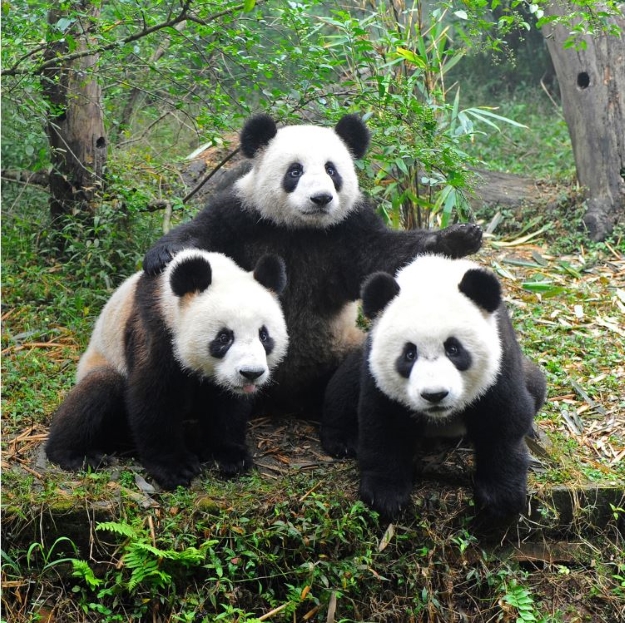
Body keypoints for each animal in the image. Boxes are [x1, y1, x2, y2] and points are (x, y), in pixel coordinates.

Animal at [46, 250, 288, 492]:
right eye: (224, 337)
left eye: (264, 335)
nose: (251, 373)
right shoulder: (155, 329)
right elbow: (154, 398)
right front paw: (175, 468)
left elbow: (227, 405)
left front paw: (230, 456)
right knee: (98, 390)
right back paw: (75, 454)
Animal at [143, 114, 482, 416]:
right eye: (295, 171)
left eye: (332, 170)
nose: (321, 198)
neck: (301, 228)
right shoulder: (242, 216)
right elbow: (203, 233)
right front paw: (162, 255)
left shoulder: (348, 229)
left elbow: (384, 256)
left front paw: (458, 238)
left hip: (341, 346)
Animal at [322, 256, 544, 520]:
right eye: (409, 354)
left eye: (453, 349)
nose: (435, 395)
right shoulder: (377, 373)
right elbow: (383, 425)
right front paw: (385, 495)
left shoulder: (501, 359)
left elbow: (503, 420)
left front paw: (501, 499)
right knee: (344, 388)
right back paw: (342, 441)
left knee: (536, 385)